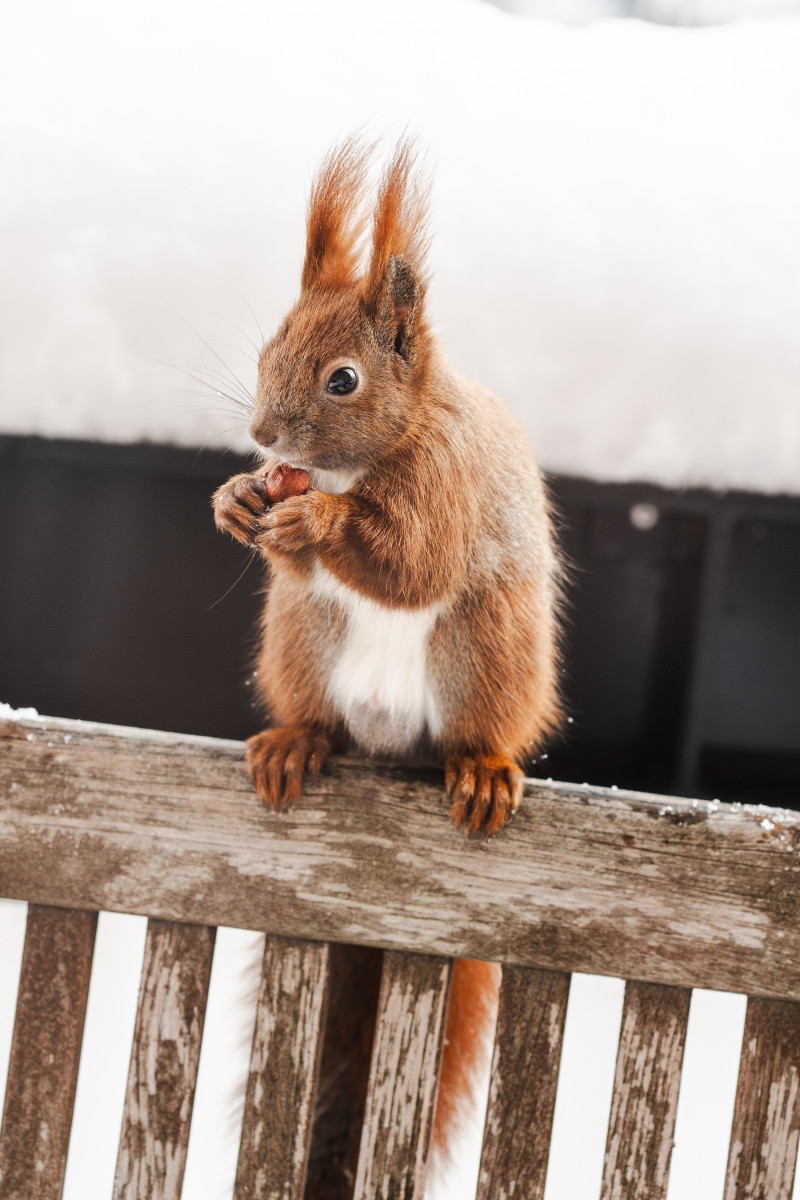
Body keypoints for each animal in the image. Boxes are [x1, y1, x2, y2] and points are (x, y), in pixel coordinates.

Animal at [212, 138, 563, 1190]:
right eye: (267, 350)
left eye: (343, 380)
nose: (263, 438)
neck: (360, 464)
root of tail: (391, 746)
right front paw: (239, 501)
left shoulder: (444, 488)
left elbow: (410, 563)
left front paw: (319, 522)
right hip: (303, 641)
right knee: (315, 709)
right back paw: (294, 744)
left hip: (483, 651)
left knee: (475, 725)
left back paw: (481, 771)